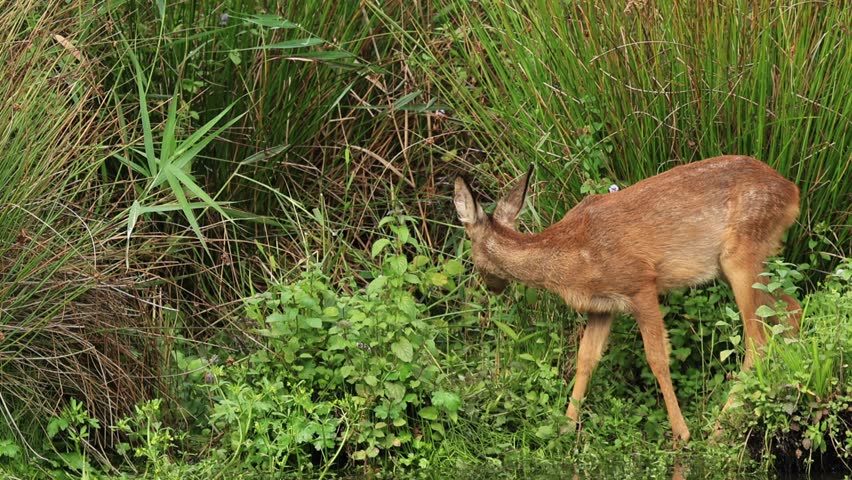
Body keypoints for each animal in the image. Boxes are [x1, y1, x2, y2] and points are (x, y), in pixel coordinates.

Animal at [453, 155, 801, 446]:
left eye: (469, 248)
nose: (492, 287)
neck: (567, 256)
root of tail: (793, 191)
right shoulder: (601, 308)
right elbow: (585, 359)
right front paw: (565, 428)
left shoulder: (641, 283)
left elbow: (657, 358)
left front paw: (681, 433)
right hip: (748, 263)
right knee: (790, 310)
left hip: (743, 255)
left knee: (757, 337)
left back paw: (718, 427)